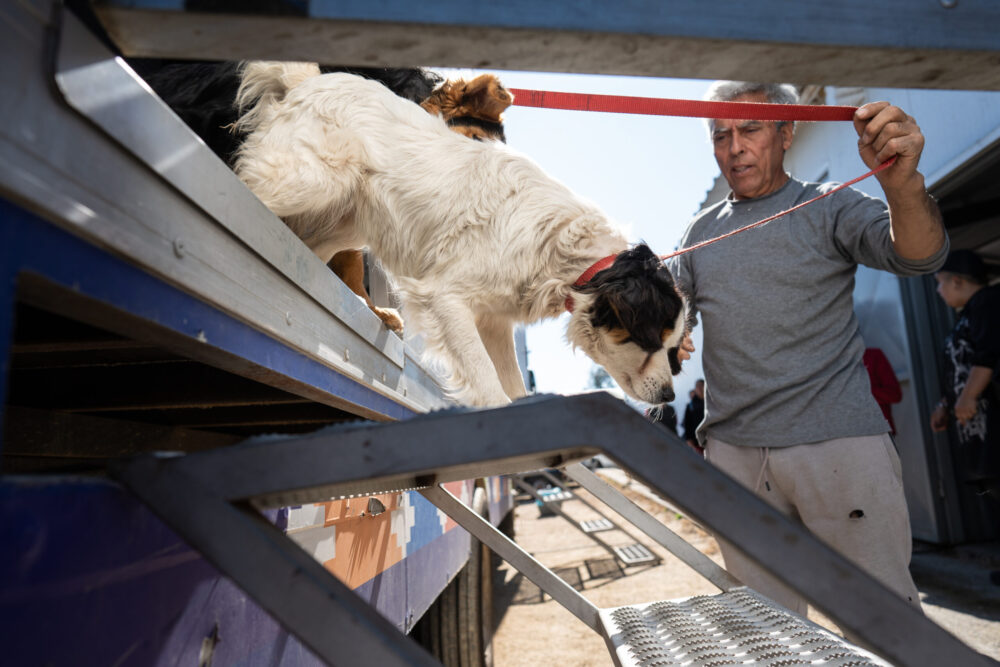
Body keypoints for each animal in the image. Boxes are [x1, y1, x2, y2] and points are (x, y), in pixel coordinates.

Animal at [234, 62, 688, 408]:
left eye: (673, 347)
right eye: (652, 340)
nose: (669, 396)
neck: (568, 255)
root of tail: (312, 79)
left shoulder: (495, 321)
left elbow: (512, 383)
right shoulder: (445, 297)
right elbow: (487, 380)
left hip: (345, 219)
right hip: (310, 181)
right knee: (248, 183)